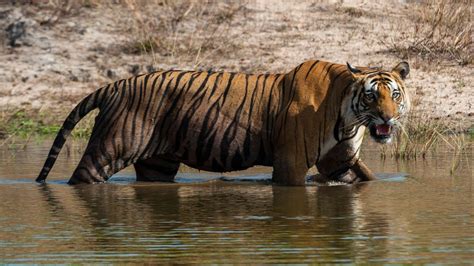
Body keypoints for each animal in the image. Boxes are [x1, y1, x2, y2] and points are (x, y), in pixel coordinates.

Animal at [37, 59, 410, 185]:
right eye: (371, 97)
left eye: (394, 95)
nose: (388, 118)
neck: (350, 118)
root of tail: (117, 84)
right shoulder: (289, 163)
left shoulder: (339, 162)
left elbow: (363, 177)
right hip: (111, 148)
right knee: (83, 176)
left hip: (157, 163)